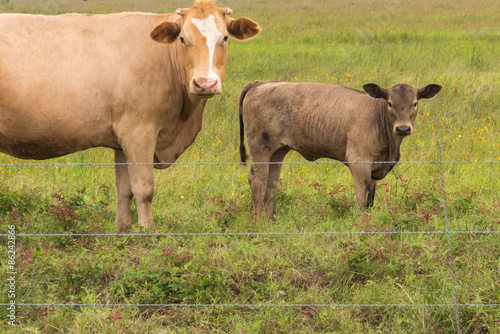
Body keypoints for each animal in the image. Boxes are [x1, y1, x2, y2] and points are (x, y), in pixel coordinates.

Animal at [0, 0, 262, 231]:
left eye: (225, 38)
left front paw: (123, 229)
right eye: (182, 39)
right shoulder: (139, 132)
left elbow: (124, 188)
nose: (205, 84)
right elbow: (143, 188)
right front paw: (148, 231)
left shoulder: (121, 141)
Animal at [238, 81, 442, 220]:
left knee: (271, 184)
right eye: (390, 103)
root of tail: (260, 84)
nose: (403, 129)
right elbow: (362, 200)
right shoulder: (359, 164)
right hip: (260, 148)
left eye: (415, 103)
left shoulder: (374, 171)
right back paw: (259, 222)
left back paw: (270, 221)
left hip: (277, 151)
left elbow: (370, 201)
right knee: (258, 182)